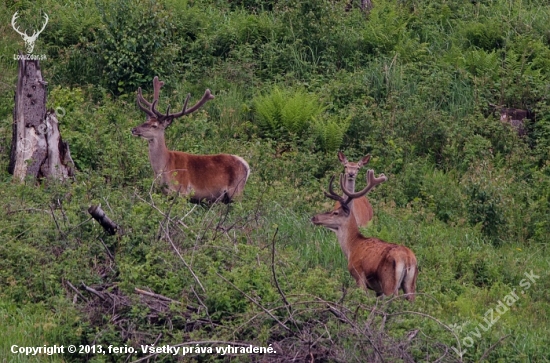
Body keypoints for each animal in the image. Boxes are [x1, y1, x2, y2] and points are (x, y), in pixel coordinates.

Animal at [133, 77, 251, 205]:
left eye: (154, 125)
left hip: (236, 191)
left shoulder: (182, 191)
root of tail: (246, 165)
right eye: (146, 121)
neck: (164, 168)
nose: (134, 129)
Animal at [314, 172, 418, 302]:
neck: (352, 247)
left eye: (335, 213)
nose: (314, 217)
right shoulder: (378, 290)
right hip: (410, 284)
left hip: (389, 282)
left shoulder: (358, 274)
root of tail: (407, 258)